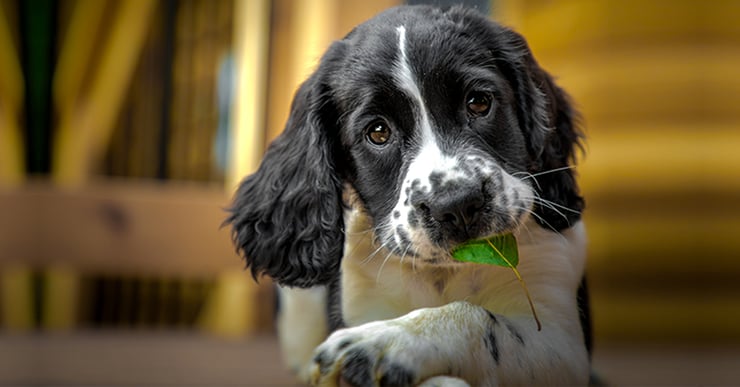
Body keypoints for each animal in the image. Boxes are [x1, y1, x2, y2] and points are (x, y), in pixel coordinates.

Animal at [228, 4, 592, 386]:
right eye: (378, 132)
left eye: (479, 103)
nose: (457, 205)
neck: (444, 273)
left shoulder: (560, 338)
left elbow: (479, 319)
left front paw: (383, 341)